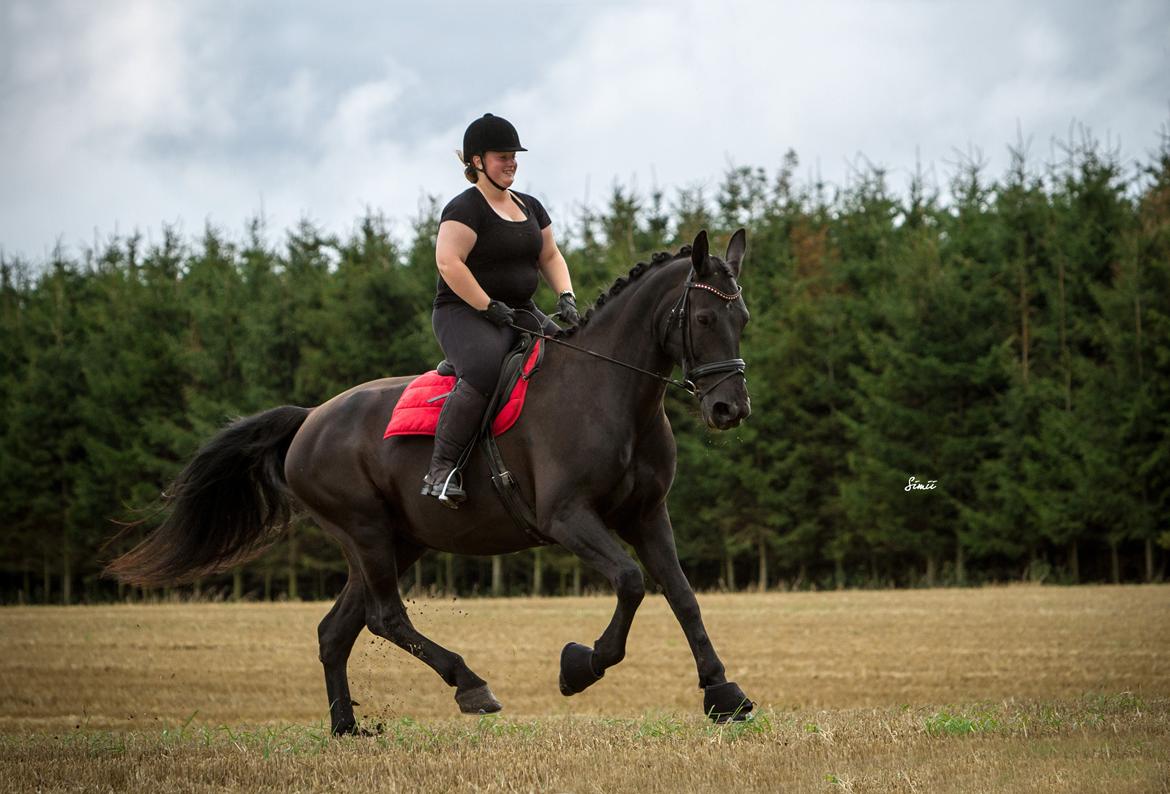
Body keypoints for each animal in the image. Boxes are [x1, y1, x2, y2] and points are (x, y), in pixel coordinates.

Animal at [107, 228, 748, 734]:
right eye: (704, 318)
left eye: (742, 319)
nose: (729, 409)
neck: (608, 392)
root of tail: (310, 419)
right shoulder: (568, 519)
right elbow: (631, 582)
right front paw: (579, 667)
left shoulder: (646, 514)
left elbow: (682, 597)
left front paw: (724, 695)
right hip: (365, 532)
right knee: (384, 618)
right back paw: (469, 683)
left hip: (397, 541)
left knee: (336, 630)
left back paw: (348, 728)